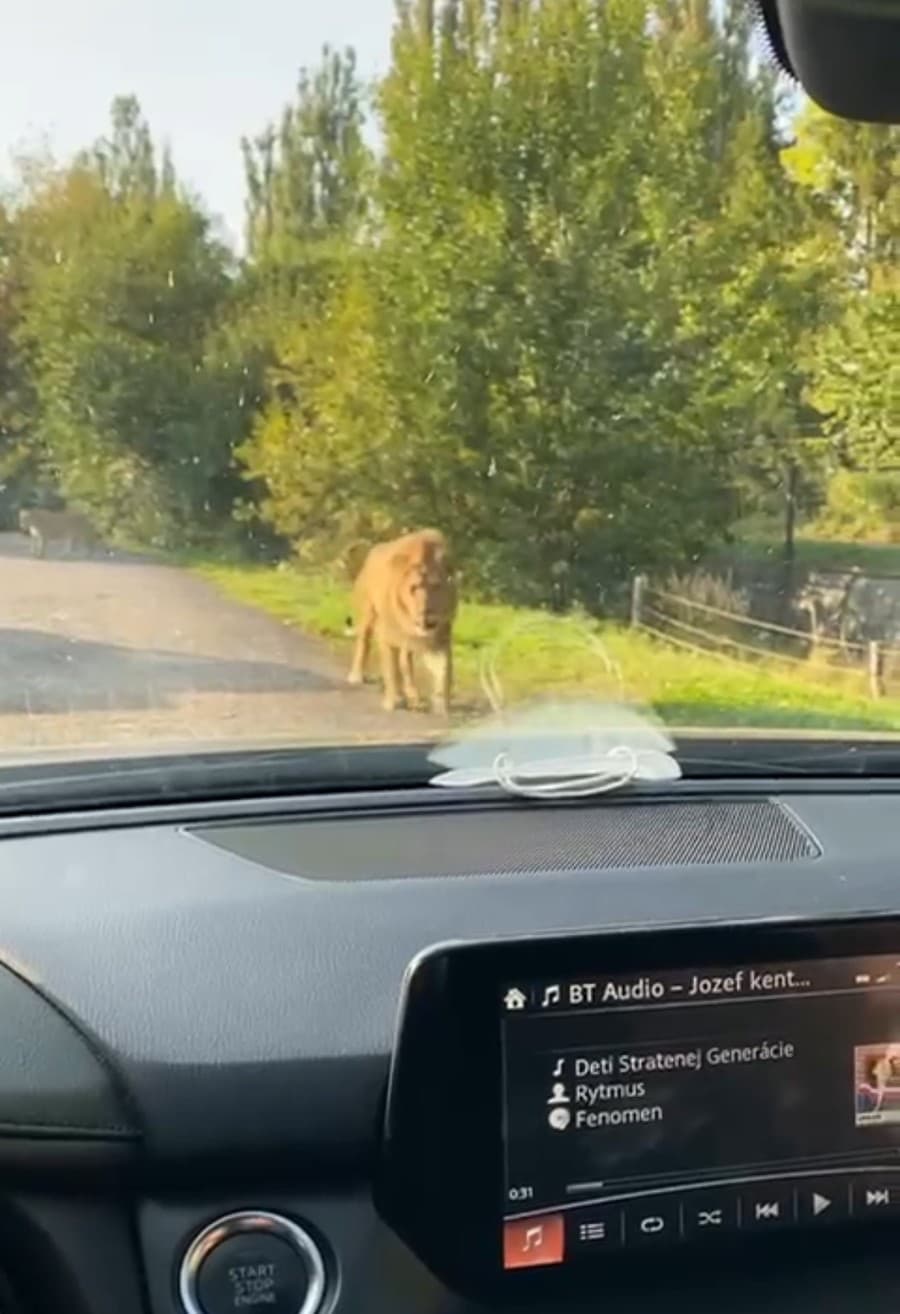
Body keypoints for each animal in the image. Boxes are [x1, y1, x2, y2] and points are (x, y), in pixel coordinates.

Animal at [346, 528, 457, 714]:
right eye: (413, 588)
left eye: (436, 586)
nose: (426, 615)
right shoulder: (388, 636)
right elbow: (392, 670)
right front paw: (393, 702)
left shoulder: (440, 638)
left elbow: (444, 671)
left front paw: (442, 707)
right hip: (368, 613)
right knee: (364, 643)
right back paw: (357, 676)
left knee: (406, 662)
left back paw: (413, 696)